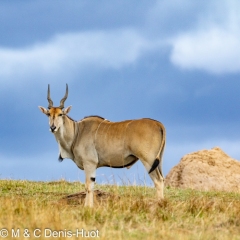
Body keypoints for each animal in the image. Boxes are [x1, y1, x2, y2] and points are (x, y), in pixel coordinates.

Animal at [38, 84, 166, 206]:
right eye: (48, 114)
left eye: (61, 114)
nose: (53, 127)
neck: (77, 131)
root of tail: (159, 124)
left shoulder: (90, 163)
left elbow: (88, 187)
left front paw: (88, 207)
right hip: (158, 162)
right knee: (162, 180)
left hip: (148, 160)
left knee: (158, 181)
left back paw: (160, 204)